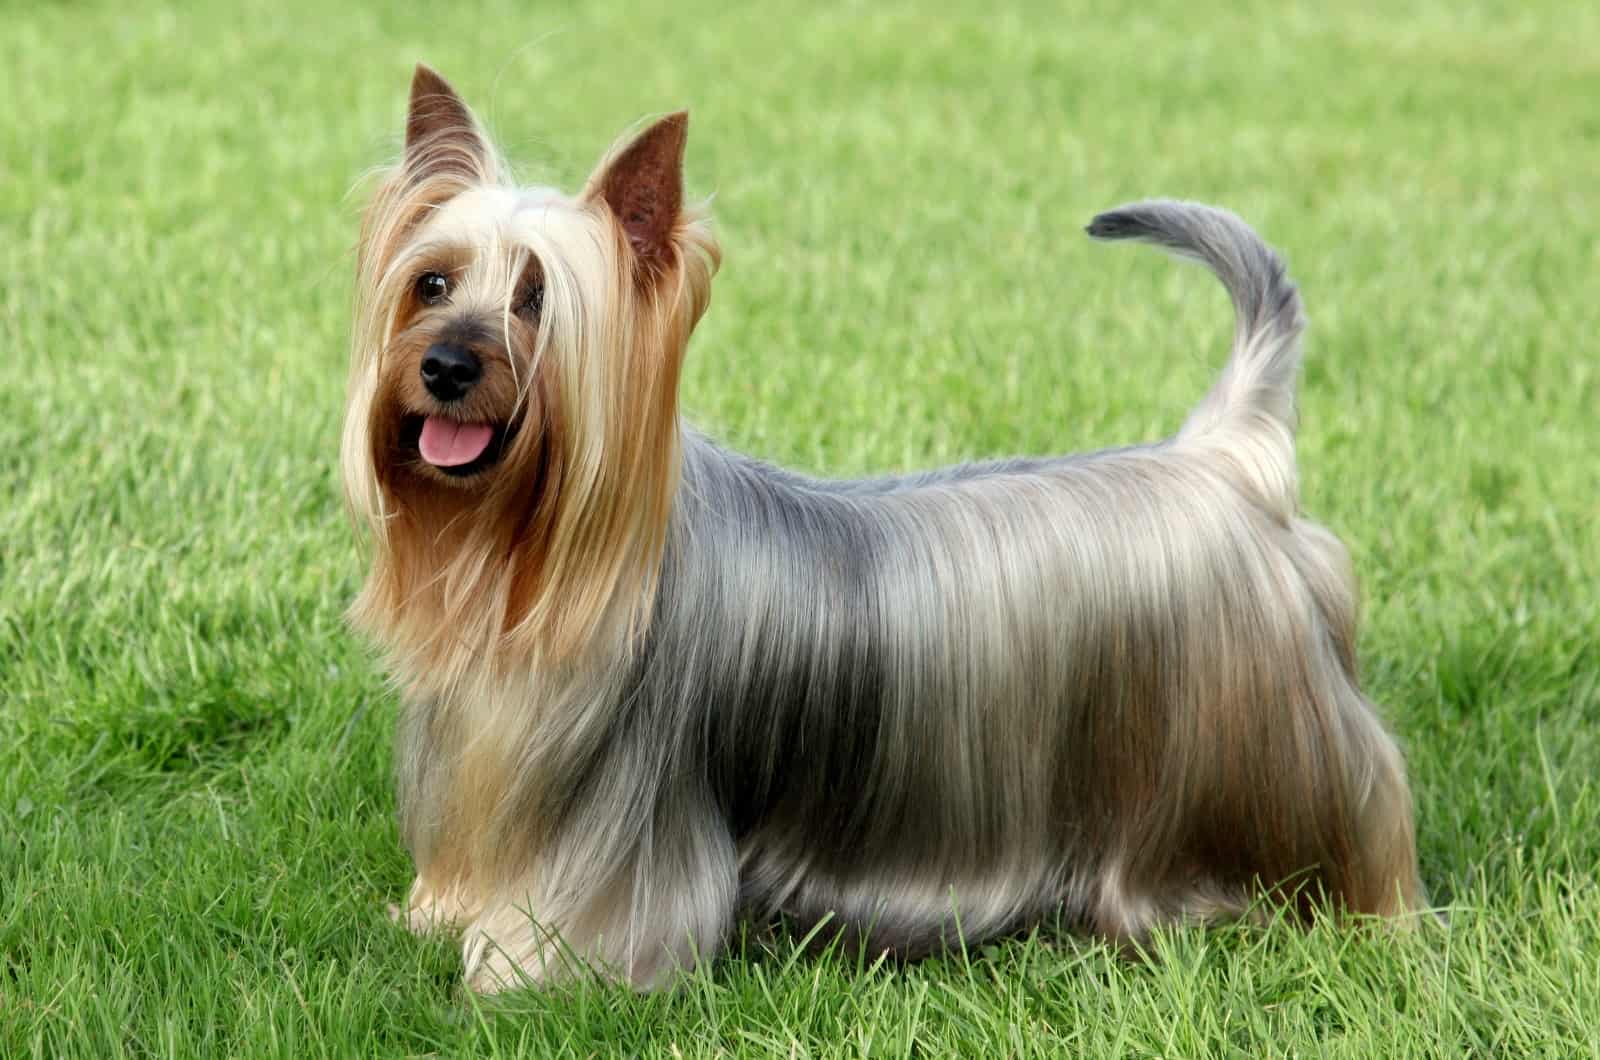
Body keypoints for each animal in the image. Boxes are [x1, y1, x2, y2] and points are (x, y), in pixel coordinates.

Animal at [340, 64, 1427, 999]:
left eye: (537, 300)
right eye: (432, 284)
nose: (444, 366)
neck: (521, 550)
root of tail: (1225, 454)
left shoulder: (625, 825)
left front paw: (520, 971)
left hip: (1272, 748)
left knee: (1363, 810)